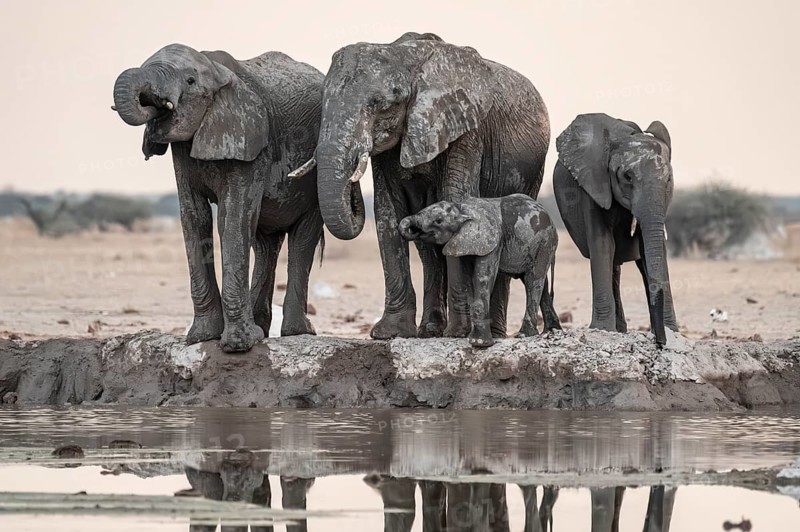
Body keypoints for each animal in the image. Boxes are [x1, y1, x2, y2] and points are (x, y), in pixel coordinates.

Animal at [113, 43, 324, 352]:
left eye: (190, 81)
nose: (152, 102)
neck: (215, 70)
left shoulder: (251, 141)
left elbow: (232, 217)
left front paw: (239, 345)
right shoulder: (183, 148)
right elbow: (194, 217)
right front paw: (201, 338)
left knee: (303, 236)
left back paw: (297, 332)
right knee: (264, 244)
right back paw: (262, 328)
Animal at [292, 32, 550, 340]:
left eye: (381, 103)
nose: (352, 182)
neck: (405, 56)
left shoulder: (466, 128)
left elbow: (456, 201)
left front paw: (459, 333)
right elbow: (388, 213)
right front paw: (391, 333)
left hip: (533, 172)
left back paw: (494, 333)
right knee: (428, 252)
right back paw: (430, 330)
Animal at [399, 195, 561, 347]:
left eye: (438, 221)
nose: (413, 229)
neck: (461, 208)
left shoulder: (492, 242)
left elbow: (483, 278)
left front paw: (479, 343)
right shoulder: (464, 242)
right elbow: (465, 278)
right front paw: (466, 337)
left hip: (544, 241)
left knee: (533, 280)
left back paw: (525, 335)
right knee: (540, 283)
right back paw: (552, 331)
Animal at [553, 113, 678, 345]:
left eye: (668, 180)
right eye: (627, 177)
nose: (660, 342)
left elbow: (648, 251)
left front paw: (673, 332)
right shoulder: (592, 184)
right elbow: (603, 245)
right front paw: (602, 330)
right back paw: (618, 330)